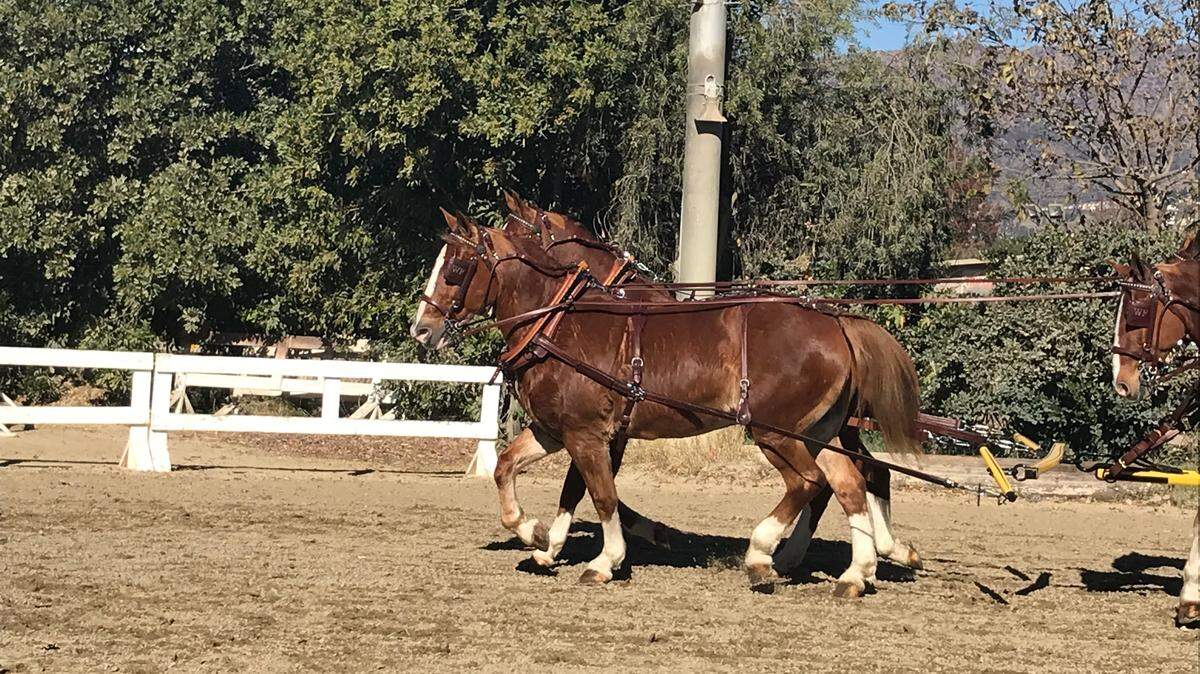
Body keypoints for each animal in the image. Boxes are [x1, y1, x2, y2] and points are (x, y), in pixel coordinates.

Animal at [410, 212, 923, 596]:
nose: (421, 328)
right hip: (816, 432)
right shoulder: (559, 431)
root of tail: (836, 321)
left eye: (456, 269)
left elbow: (599, 493)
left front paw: (605, 560)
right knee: (849, 483)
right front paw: (537, 536)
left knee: (810, 482)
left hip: (775, 432)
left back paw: (762, 555)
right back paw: (856, 573)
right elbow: (513, 471)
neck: (558, 323)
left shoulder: (588, 435)